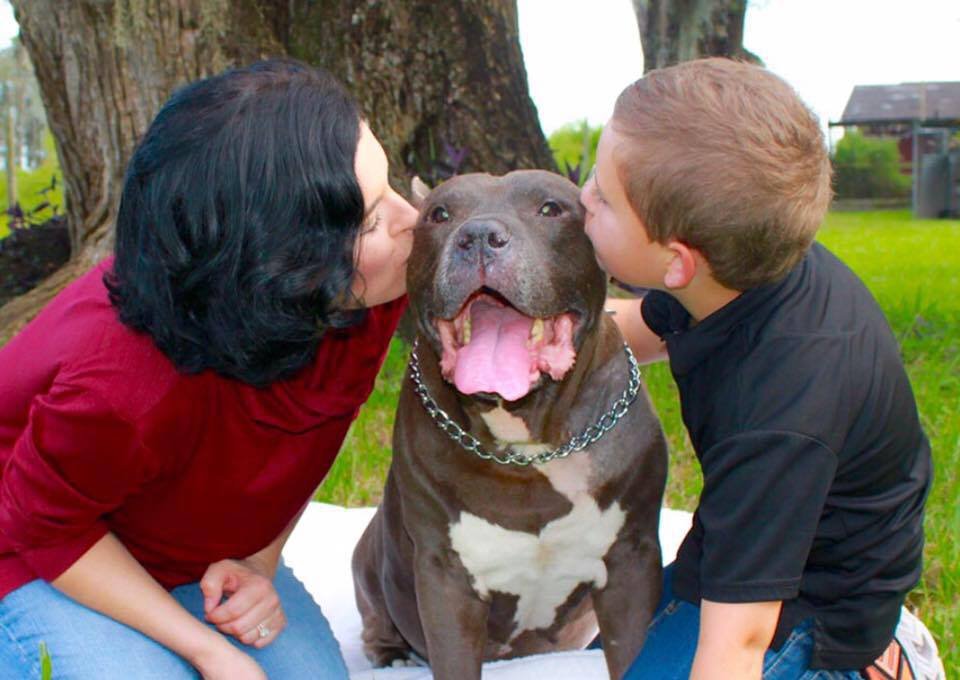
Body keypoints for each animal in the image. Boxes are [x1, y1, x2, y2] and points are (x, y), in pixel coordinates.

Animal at [350, 170, 668, 680]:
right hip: (367, 556)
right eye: (439, 214)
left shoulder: (631, 563)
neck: (528, 450)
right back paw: (392, 655)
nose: (479, 235)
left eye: (551, 208)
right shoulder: (446, 578)